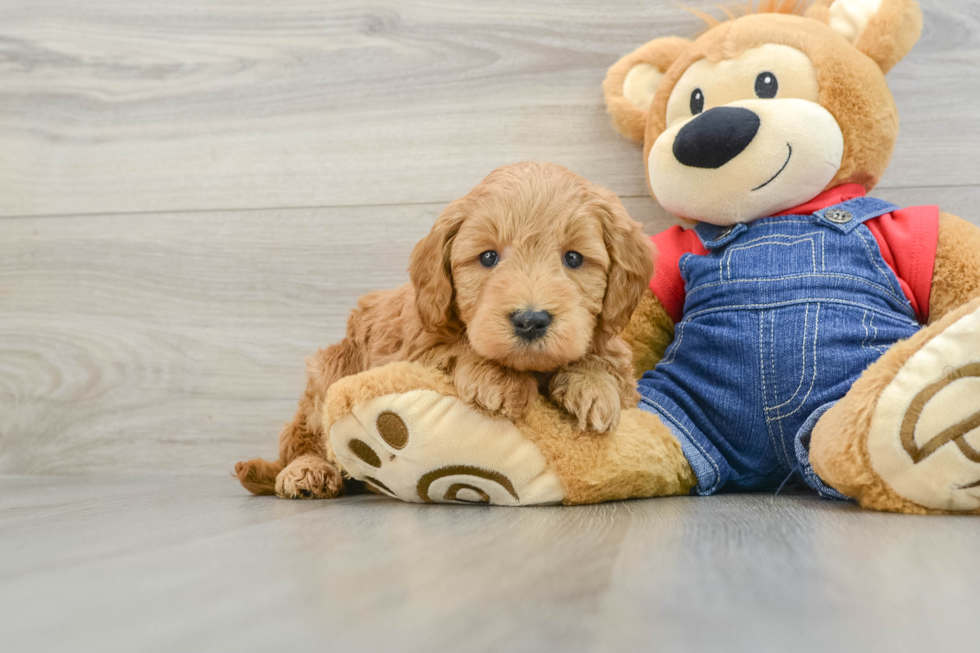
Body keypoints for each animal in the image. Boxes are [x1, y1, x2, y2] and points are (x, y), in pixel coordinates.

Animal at [234, 160, 656, 496]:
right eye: (488, 257)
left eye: (574, 259)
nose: (530, 320)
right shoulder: (417, 344)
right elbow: (457, 346)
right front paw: (499, 379)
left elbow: (606, 360)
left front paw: (594, 387)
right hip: (329, 372)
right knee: (302, 439)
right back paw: (307, 471)